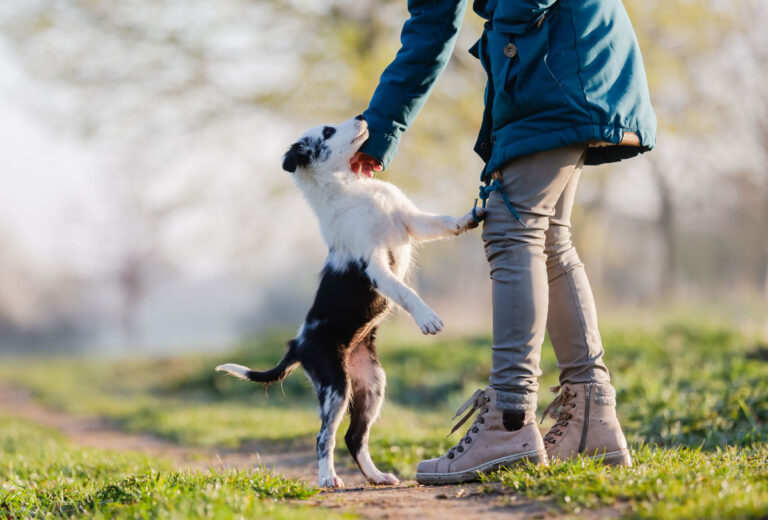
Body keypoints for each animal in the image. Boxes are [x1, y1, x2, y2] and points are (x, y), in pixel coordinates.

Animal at [213, 116, 484, 490]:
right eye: (327, 132)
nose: (362, 117)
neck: (349, 189)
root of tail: (298, 344)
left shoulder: (410, 220)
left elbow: (442, 221)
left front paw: (470, 217)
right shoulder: (375, 266)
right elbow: (405, 292)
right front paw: (427, 317)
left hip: (372, 385)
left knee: (354, 437)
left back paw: (376, 476)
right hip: (335, 388)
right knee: (324, 437)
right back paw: (328, 478)